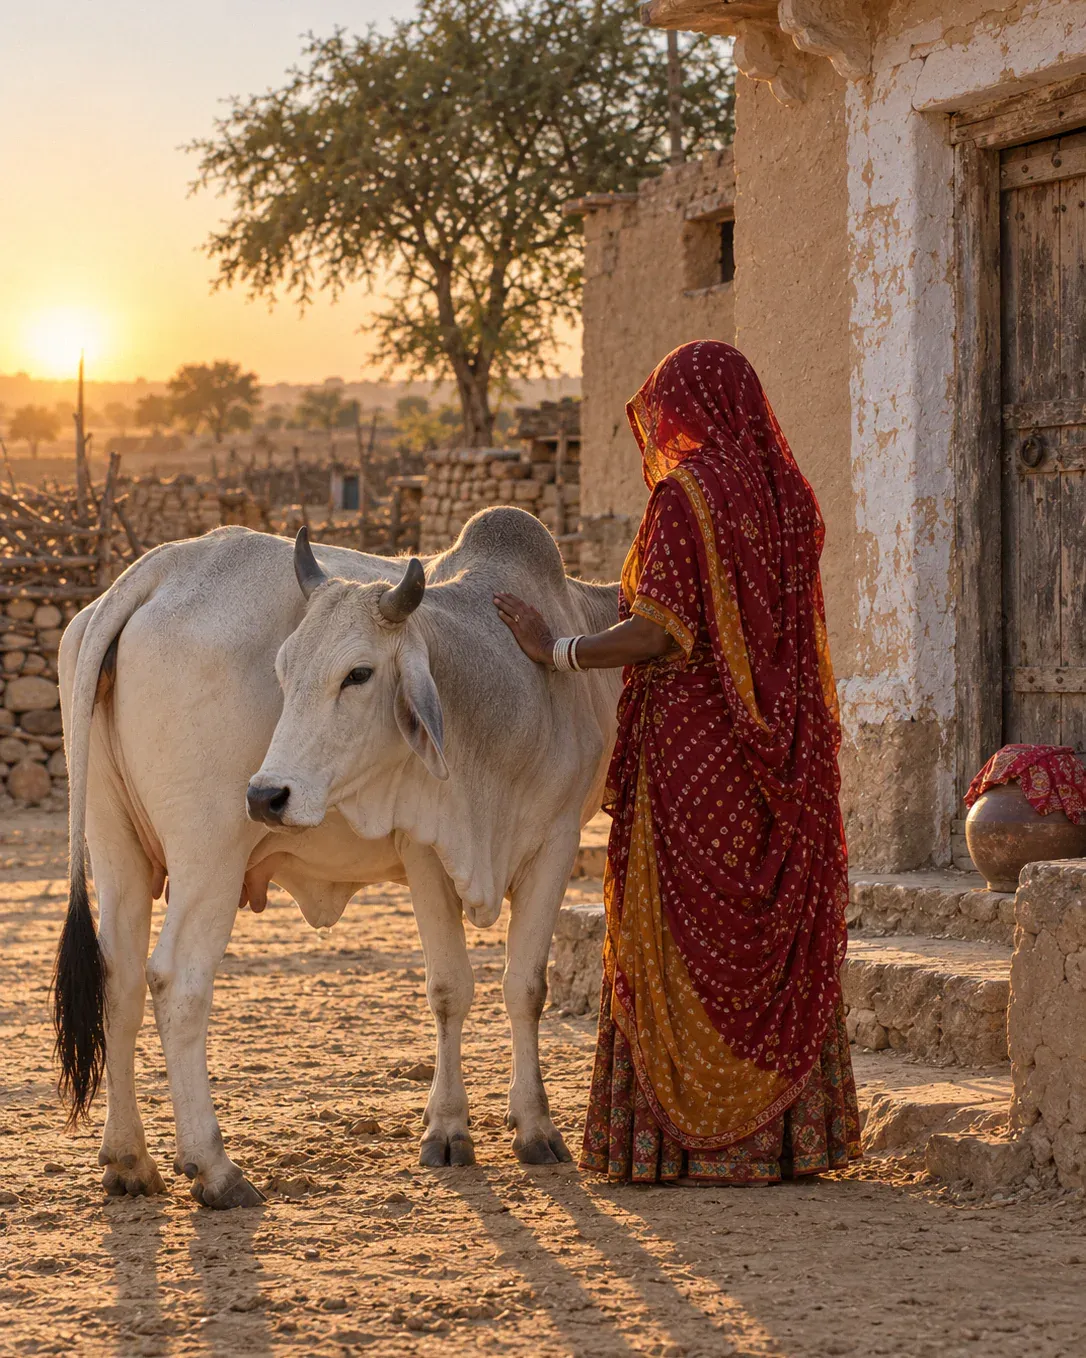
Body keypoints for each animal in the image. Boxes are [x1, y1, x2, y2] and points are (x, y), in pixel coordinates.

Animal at [53, 508, 621, 1208]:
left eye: (358, 673)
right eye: (284, 671)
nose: (266, 795)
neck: (505, 683)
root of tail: (154, 571)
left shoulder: (521, 844)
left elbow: (482, 988)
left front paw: (463, 1128)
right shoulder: (505, 844)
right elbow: (498, 987)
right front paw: (520, 1129)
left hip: (115, 848)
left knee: (121, 981)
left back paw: (129, 1160)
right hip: (209, 854)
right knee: (177, 982)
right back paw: (215, 1167)